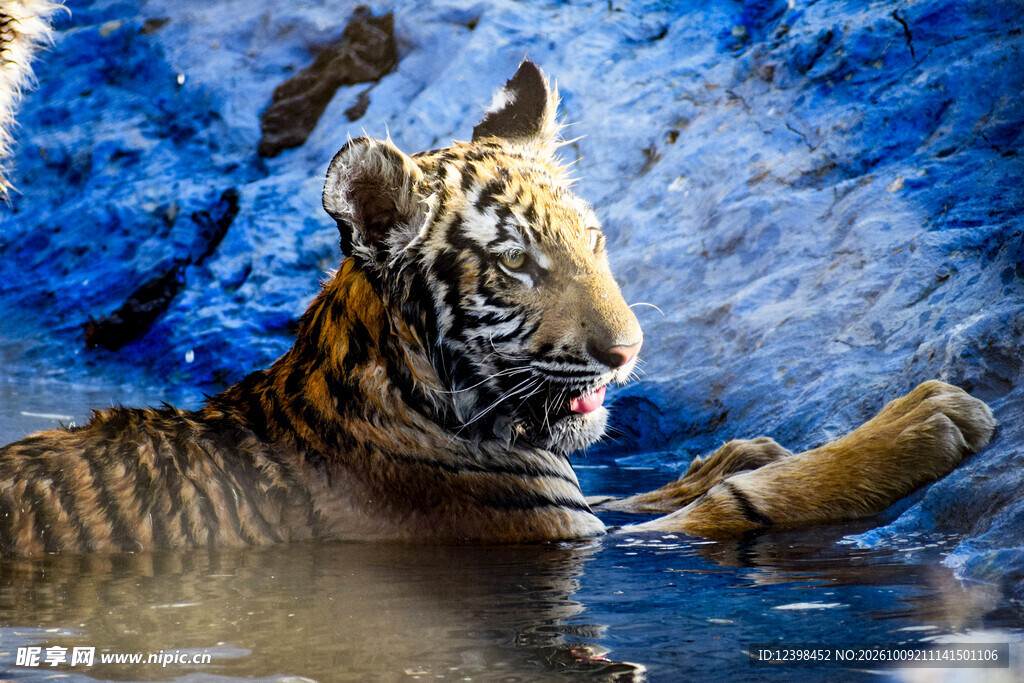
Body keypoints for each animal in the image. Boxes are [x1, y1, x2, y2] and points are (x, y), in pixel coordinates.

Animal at [0, 60, 995, 555]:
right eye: (516, 263)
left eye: (594, 240)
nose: (628, 352)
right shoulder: (551, 534)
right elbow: (738, 508)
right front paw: (930, 417)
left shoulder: (578, 500)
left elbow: (650, 487)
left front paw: (742, 447)